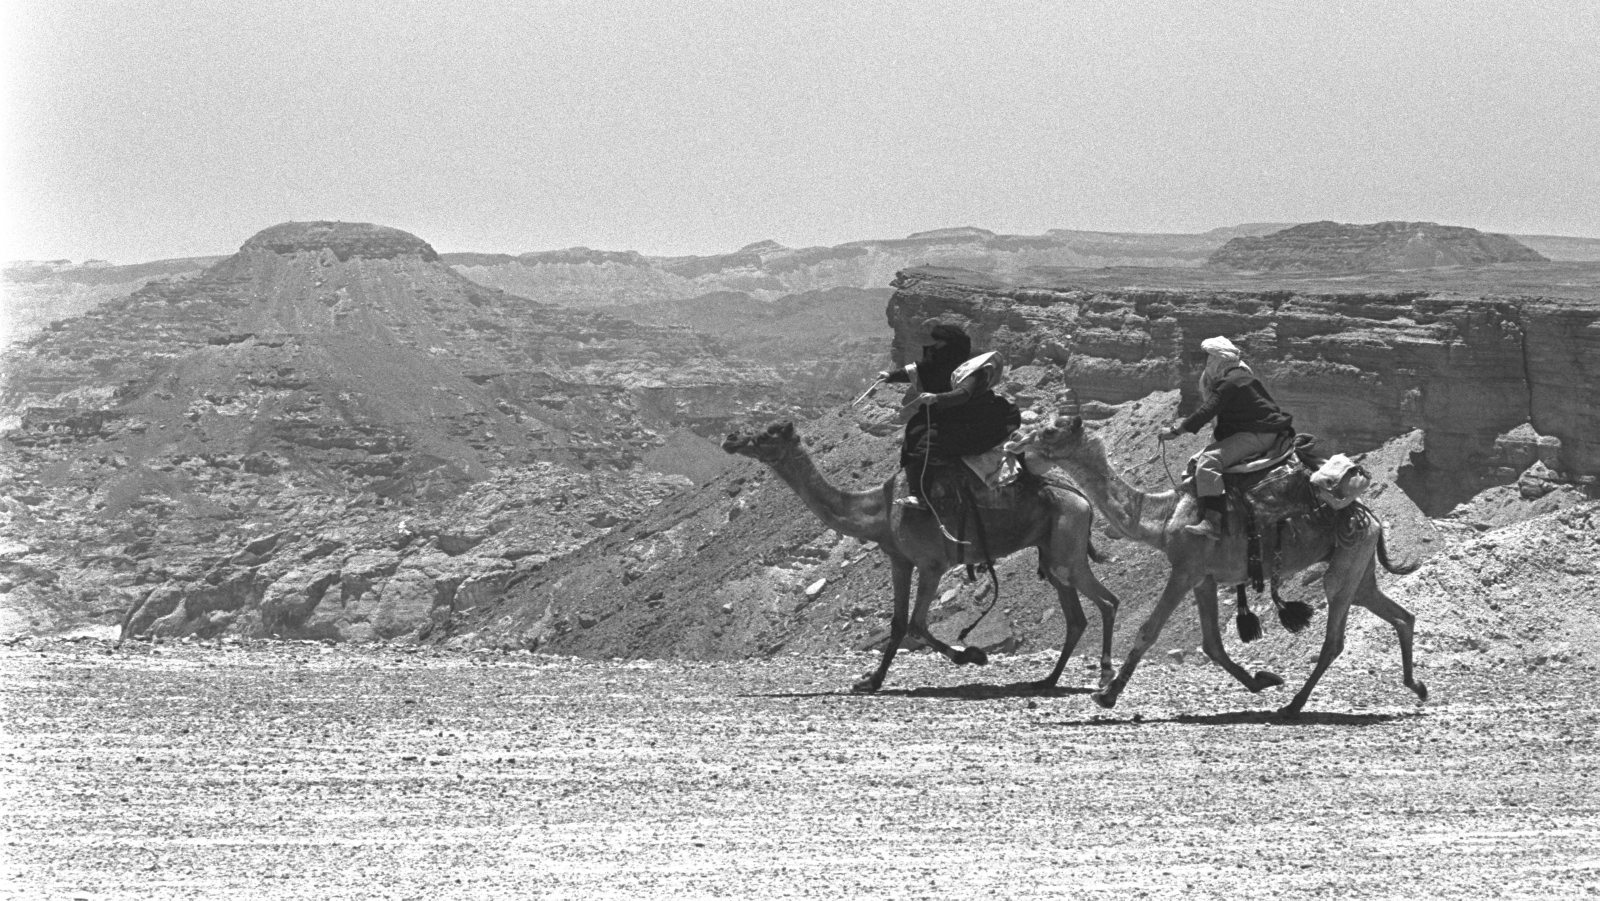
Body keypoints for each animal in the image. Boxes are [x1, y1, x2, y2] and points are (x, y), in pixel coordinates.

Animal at [721, 421, 1121, 693]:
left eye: (765, 435)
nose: (731, 438)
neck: (880, 509)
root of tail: (1083, 500)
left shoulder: (932, 564)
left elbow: (915, 624)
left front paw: (973, 655)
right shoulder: (899, 559)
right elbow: (898, 623)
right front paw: (870, 681)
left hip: (1068, 546)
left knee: (1108, 602)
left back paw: (1102, 677)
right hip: (1053, 555)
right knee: (1076, 618)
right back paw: (1047, 680)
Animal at [1005, 401, 1426, 717]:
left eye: (1050, 431)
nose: (1013, 439)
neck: (1165, 516)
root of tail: (1370, 516)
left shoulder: (1184, 568)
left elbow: (1148, 631)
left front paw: (1106, 694)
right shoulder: (1203, 577)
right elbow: (1212, 644)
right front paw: (1262, 680)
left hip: (1347, 559)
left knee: (1334, 638)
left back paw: (1293, 706)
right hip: (1359, 562)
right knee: (1399, 614)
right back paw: (1416, 686)